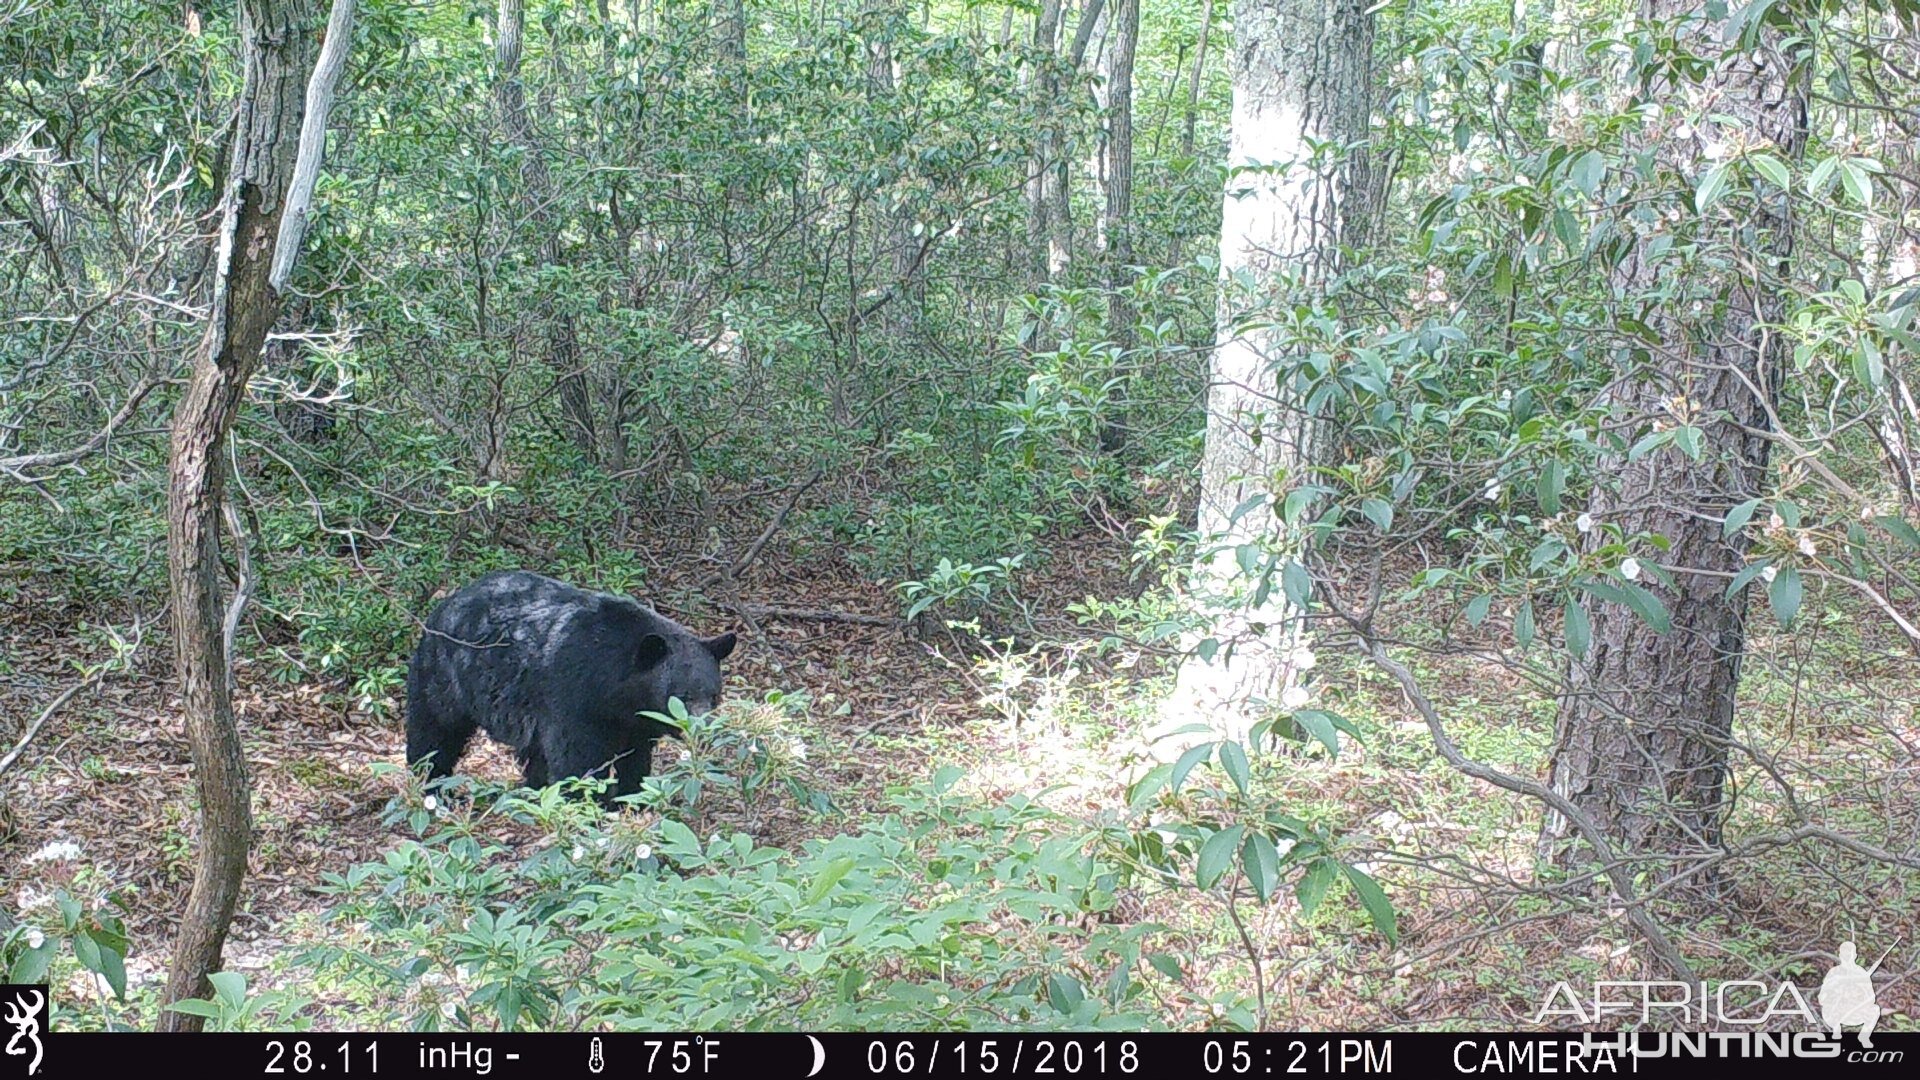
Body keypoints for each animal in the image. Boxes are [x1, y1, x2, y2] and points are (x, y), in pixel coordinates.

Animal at [401, 568, 737, 803]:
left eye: (714, 695)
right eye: (681, 696)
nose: (703, 730)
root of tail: (444, 604)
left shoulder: (635, 721)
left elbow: (636, 757)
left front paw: (632, 797)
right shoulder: (573, 697)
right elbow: (575, 758)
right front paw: (590, 802)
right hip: (445, 676)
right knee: (435, 730)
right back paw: (434, 784)